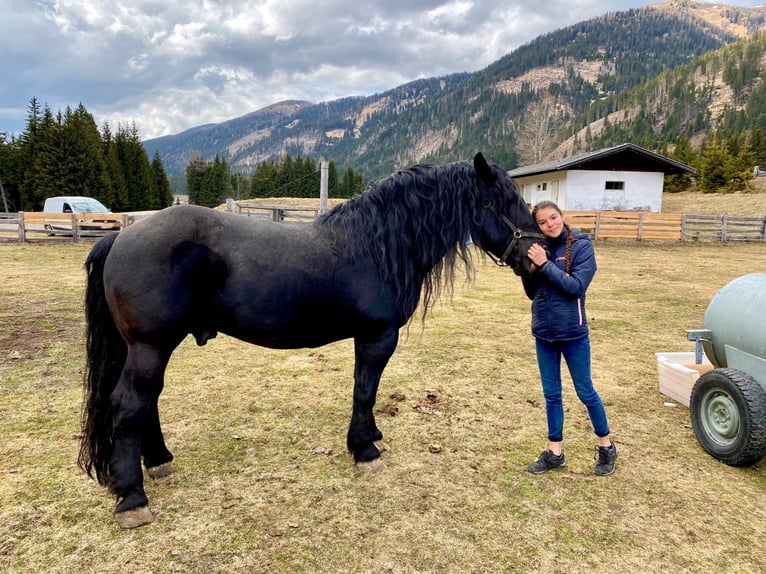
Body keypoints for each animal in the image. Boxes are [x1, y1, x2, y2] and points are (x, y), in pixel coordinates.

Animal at [78, 154, 544, 532]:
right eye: (504, 202)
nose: (536, 256)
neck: (378, 246)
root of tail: (121, 237)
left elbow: (366, 391)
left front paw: (371, 437)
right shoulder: (377, 336)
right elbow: (364, 390)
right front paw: (364, 449)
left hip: (148, 348)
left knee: (148, 402)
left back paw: (159, 462)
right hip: (150, 346)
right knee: (130, 405)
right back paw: (133, 498)